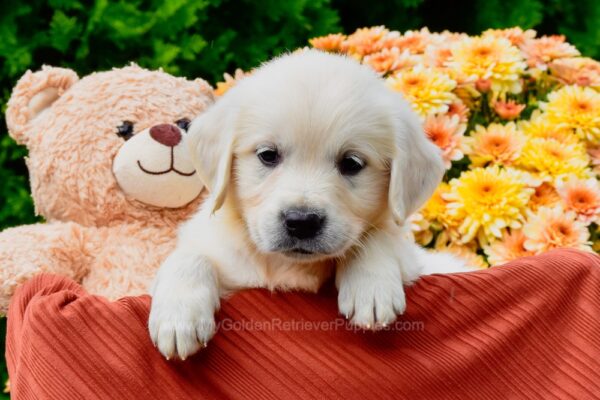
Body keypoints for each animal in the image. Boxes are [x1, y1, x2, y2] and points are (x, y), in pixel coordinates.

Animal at [148, 50, 472, 360]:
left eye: (351, 163)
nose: (302, 221)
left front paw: (371, 287)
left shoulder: (415, 259)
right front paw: (179, 318)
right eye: (268, 155)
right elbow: (188, 257)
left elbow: (379, 238)